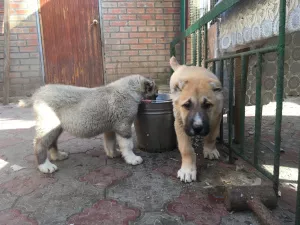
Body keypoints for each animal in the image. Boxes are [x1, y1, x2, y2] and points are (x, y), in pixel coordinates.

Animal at [18, 74, 157, 173]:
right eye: (154, 93)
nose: (156, 98)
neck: (130, 89)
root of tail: (38, 93)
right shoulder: (123, 125)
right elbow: (127, 144)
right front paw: (132, 158)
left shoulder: (111, 127)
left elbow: (110, 142)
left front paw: (113, 153)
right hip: (48, 124)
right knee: (40, 144)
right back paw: (45, 166)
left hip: (56, 127)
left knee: (52, 142)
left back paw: (57, 156)